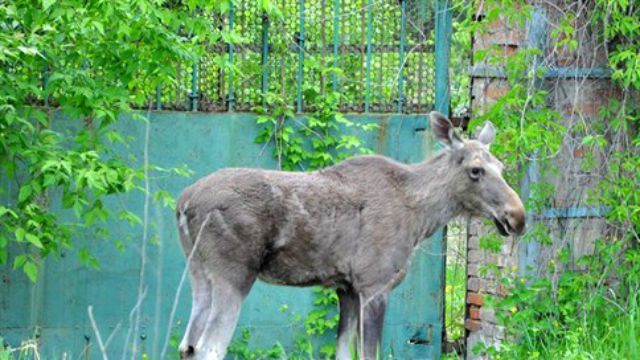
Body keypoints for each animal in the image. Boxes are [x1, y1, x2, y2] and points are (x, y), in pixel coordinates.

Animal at [175, 111, 524, 358]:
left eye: (501, 167)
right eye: (475, 170)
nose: (517, 216)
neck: (421, 218)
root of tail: (183, 203)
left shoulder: (346, 288)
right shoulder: (374, 286)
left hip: (199, 274)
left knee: (187, 346)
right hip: (234, 275)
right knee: (209, 348)